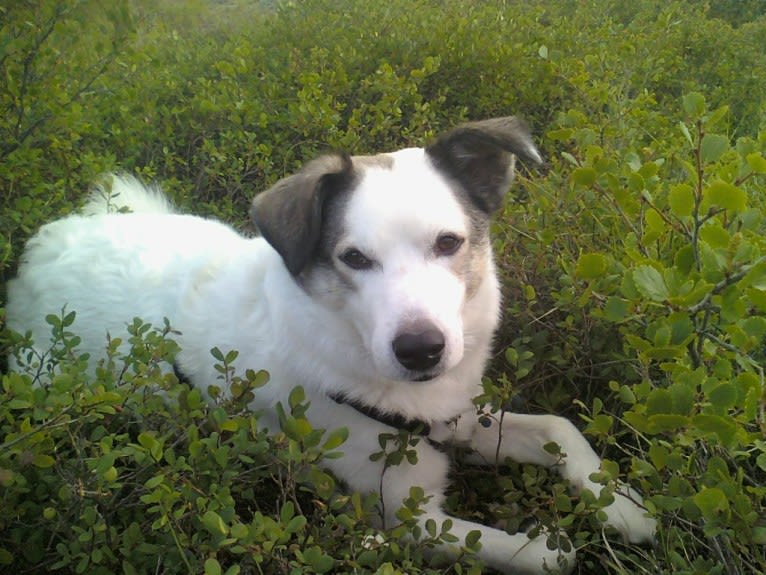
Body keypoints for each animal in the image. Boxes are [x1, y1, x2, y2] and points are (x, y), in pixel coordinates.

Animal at [6, 119, 656, 572]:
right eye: (354, 258)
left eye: (449, 243)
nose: (421, 350)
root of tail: (42, 248)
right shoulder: (411, 521)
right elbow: (541, 556)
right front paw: (556, 541)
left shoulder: (461, 419)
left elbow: (558, 428)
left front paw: (623, 506)